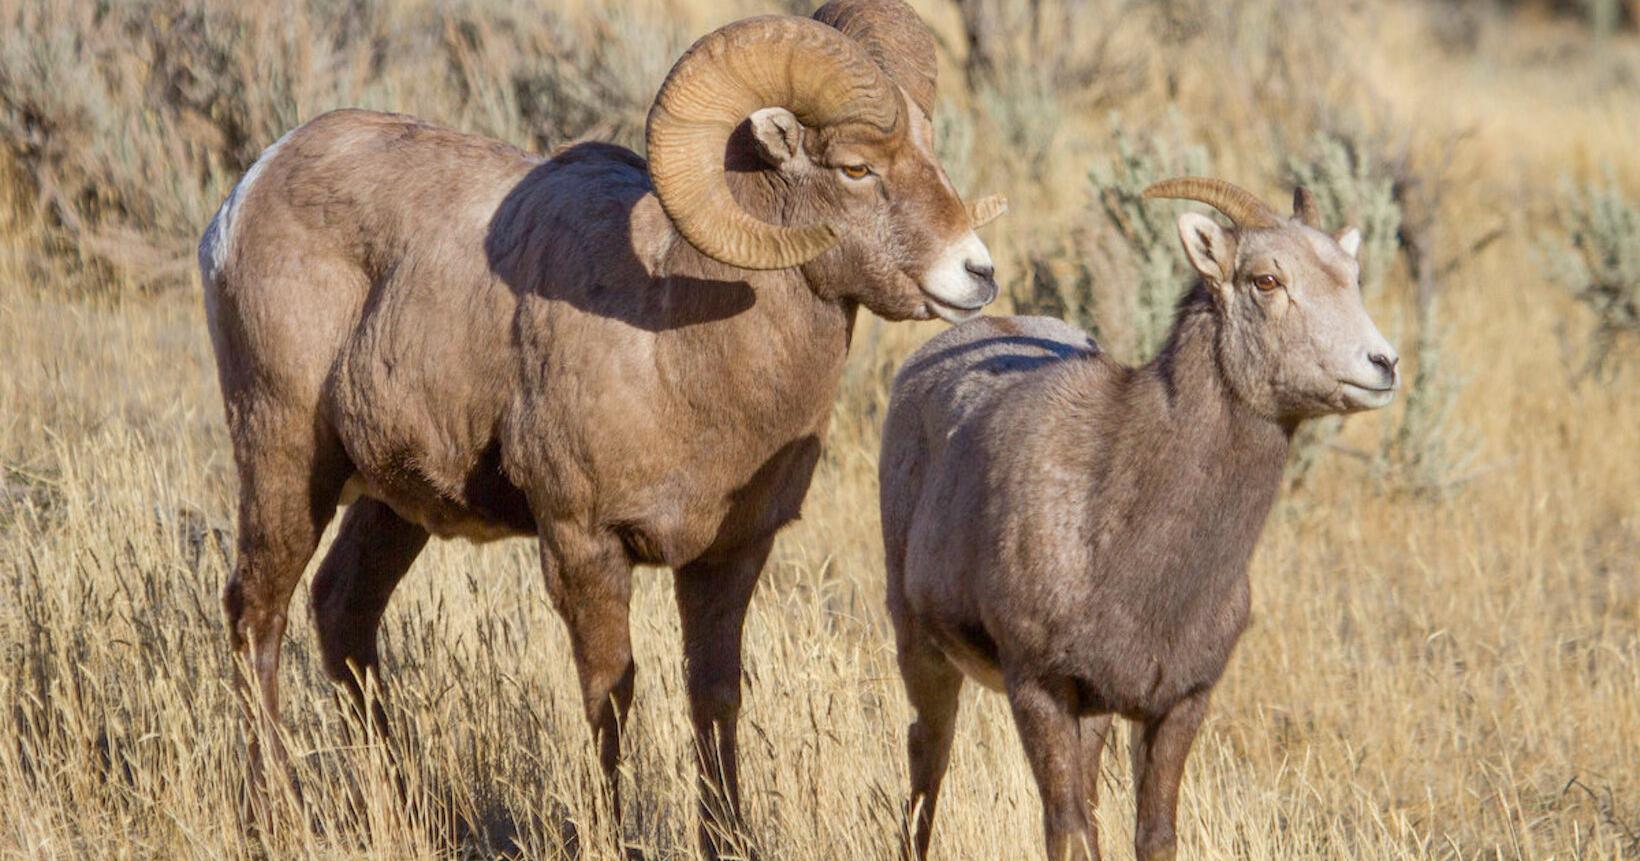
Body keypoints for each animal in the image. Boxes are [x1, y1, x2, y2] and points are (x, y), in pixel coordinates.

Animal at [198, 1, 1004, 851]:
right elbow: (609, 695)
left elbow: (714, 696)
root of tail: (249, 190)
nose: (976, 273)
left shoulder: (728, 557)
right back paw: (273, 816)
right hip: (286, 455)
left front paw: (727, 837)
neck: (679, 350)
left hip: (395, 504)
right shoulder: (583, 544)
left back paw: (407, 810)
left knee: (344, 612)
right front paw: (612, 835)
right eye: (855, 168)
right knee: (258, 611)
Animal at [878, 177, 1399, 861]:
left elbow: (1151, 836)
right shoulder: (1039, 688)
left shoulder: (1176, 705)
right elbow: (1067, 831)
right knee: (927, 758)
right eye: (1266, 280)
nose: (1382, 364)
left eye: (1351, 275)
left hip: (1094, 717)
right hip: (922, 647)